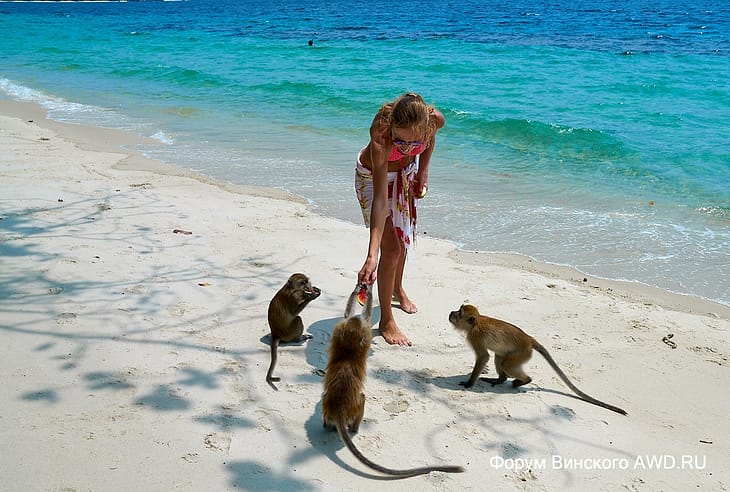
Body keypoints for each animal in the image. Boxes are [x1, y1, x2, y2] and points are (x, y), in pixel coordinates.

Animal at [321, 284, 465, 478]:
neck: (348, 351)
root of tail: (338, 409)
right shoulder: (361, 331)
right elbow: (365, 316)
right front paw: (368, 289)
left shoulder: (341, 331)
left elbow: (347, 313)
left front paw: (361, 287)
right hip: (356, 406)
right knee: (363, 398)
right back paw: (355, 428)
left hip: (327, 405)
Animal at [449, 304, 627, 416]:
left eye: (459, 313)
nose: (452, 313)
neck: (476, 323)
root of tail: (529, 339)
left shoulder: (475, 337)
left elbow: (484, 357)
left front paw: (469, 383)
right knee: (500, 357)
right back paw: (500, 380)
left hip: (522, 352)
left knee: (506, 363)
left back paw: (524, 380)